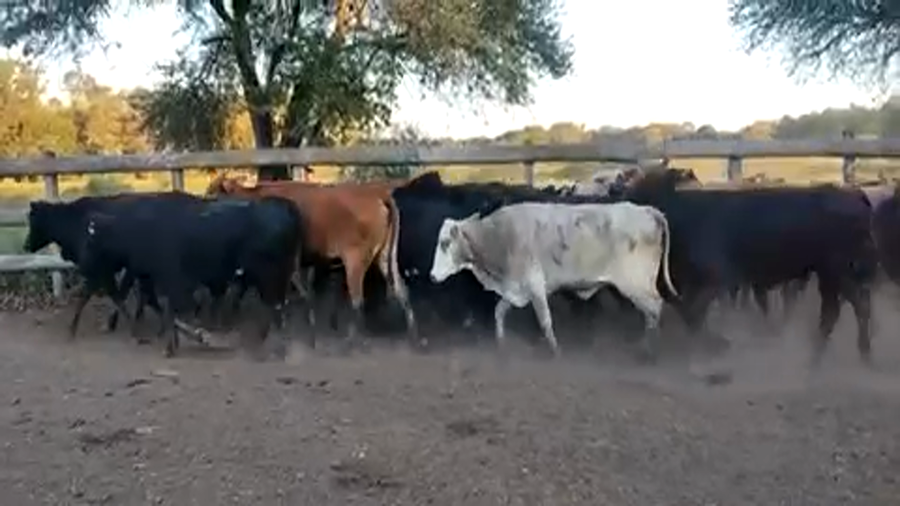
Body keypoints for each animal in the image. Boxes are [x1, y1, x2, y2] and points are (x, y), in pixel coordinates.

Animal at [80, 195, 301, 357]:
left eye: (91, 242)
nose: (82, 267)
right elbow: (167, 309)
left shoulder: (173, 281)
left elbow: (173, 312)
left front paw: (174, 344)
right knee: (275, 307)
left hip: (269, 276)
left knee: (273, 307)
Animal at [205, 174, 418, 352]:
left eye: (213, 192)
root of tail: (377, 195)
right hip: (384, 257)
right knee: (401, 291)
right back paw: (412, 337)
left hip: (355, 261)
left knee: (357, 300)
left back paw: (350, 340)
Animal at [428, 201, 678, 361]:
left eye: (444, 243)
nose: (431, 275)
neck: (500, 237)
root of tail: (648, 211)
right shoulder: (517, 289)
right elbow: (499, 311)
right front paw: (501, 345)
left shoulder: (535, 287)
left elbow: (545, 321)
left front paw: (555, 352)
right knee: (652, 312)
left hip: (635, 284)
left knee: (655, 307)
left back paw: (649, 352)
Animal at [623, 169, 878, 365]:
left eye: (641, 197)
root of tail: (854, 195)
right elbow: (688, 311)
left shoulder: (715, 279)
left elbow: (694, 312)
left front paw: (707, 347)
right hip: (833, 274)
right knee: (846, 309)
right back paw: (843, 353)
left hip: (838, 270)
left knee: (846, 309)